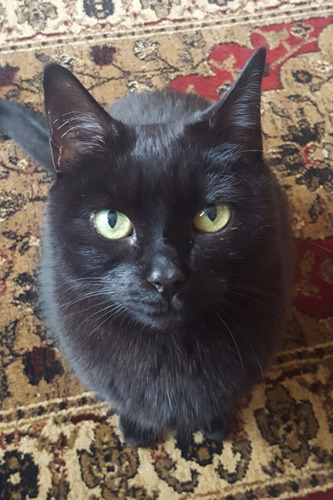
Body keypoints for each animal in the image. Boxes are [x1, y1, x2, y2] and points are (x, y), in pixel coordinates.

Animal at [0, 47, 290, 446]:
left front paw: (213, 424)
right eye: (112, 221)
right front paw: (137, 429)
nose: (165, 277)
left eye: (213, 216)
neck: (172, 355)